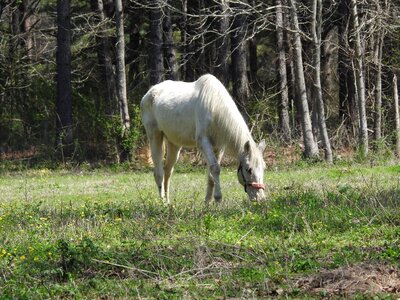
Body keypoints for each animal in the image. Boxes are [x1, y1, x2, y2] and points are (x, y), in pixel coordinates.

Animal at [141, 74, 266, 204]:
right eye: (249, 169)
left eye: (264, 167)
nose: (260, 198)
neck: (215, 107)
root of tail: (149, 93)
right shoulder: (204, 142)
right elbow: (215, 169)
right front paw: (218, 199)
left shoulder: (218, 147)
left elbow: (211, 174)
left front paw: (208, 202)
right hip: (155, 137)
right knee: (159, 173)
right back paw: (163, 203)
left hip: (173, 144)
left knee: (167, 171)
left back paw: (168, 202)